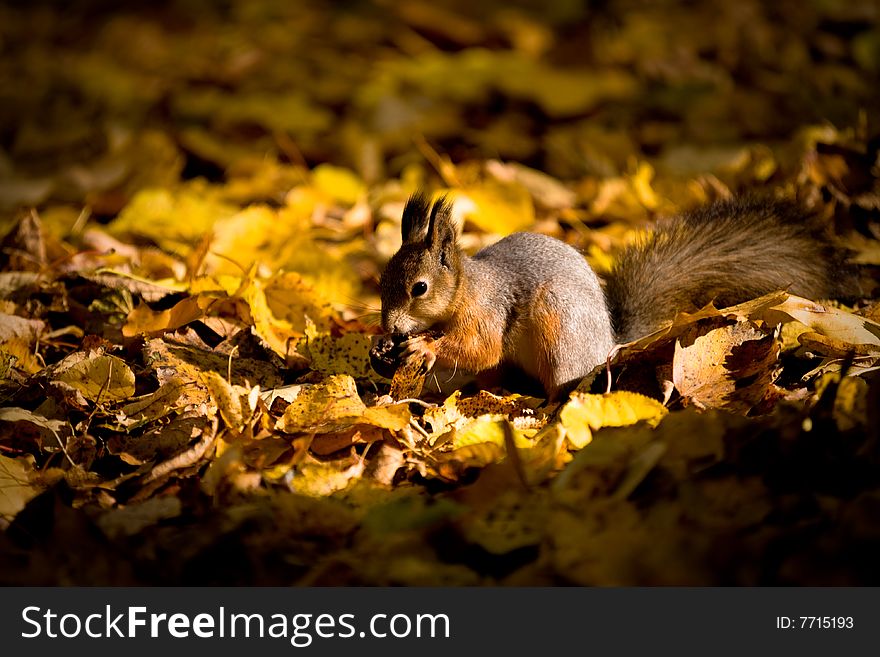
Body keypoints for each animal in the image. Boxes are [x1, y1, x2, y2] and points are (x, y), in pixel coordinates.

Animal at [374, 191, 856, 400]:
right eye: (381, 280)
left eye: (419, 288)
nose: (389, 327)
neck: (464, 289)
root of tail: (607, 345)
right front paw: (382, 348)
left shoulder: (486, 312)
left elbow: (479, 348)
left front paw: (423, 346)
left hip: (558, 330)